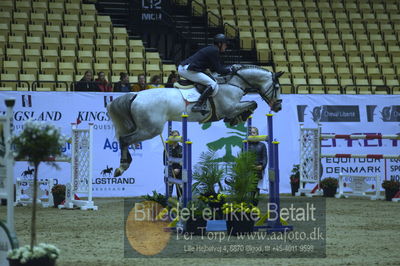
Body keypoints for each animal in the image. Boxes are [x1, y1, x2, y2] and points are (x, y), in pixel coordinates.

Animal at [108, 64, 282, 177]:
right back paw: (122, 167)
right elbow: (253, 103)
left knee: (125, 139)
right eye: (277, 87)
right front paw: (239, 117)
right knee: (125, 140)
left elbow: (252, 104)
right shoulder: (230, 107)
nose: (278, 107)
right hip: (150, 129)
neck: (234, 83)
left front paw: (238, 118)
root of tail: (136, 95)